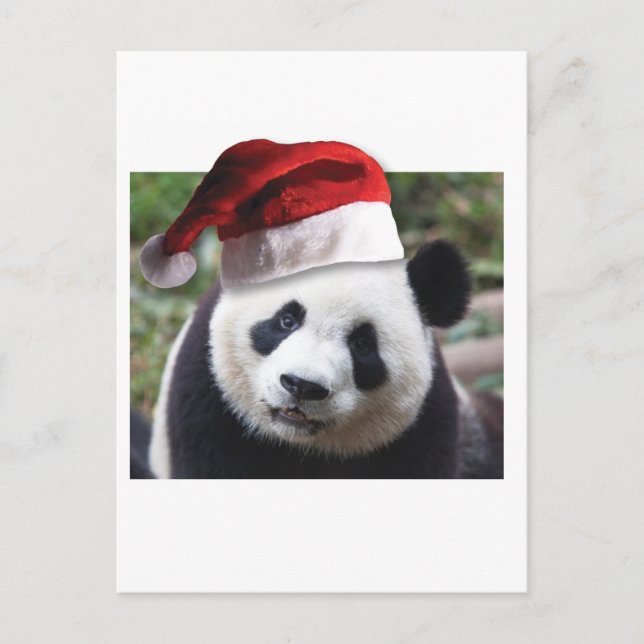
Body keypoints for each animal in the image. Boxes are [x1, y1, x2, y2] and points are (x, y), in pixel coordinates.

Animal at [140, 240, 503, 479]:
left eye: (362, 344)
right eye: (287, 320)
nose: (301, 386)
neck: (299, 445)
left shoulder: (423, 425)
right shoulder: (208, 395)